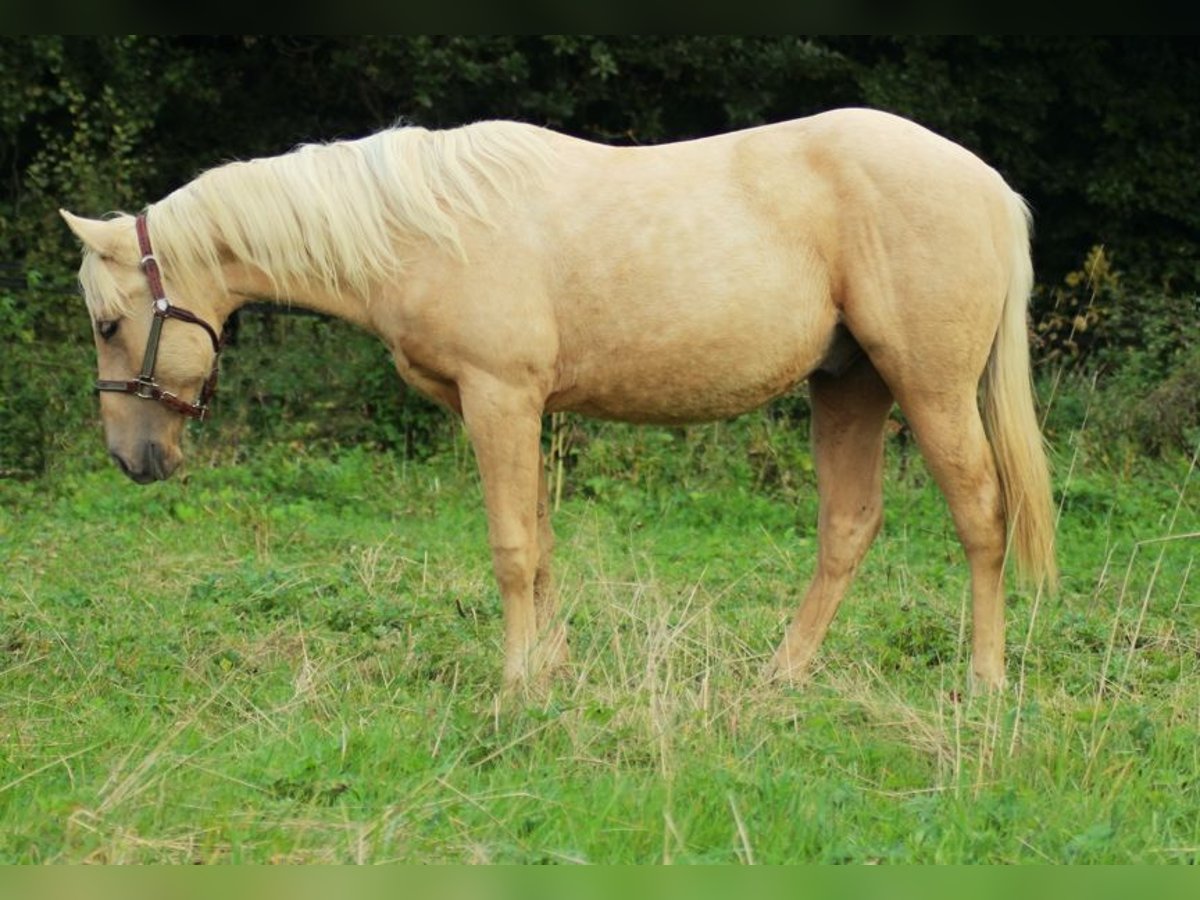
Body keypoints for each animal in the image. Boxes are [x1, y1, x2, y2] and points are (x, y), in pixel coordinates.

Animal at [60, 109, 1056, 696]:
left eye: (109, 323)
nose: (130, 459)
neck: (425, 225)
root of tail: (989, 185)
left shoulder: (498, 398)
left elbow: (509, 548)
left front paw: (513, 686)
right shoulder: (523, 410)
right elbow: (539, 544)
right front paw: (552, 672)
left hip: (929, 389)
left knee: (981, 516)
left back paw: (983, 681)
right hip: (849, 386)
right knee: (848, 527)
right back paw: (779, 676)